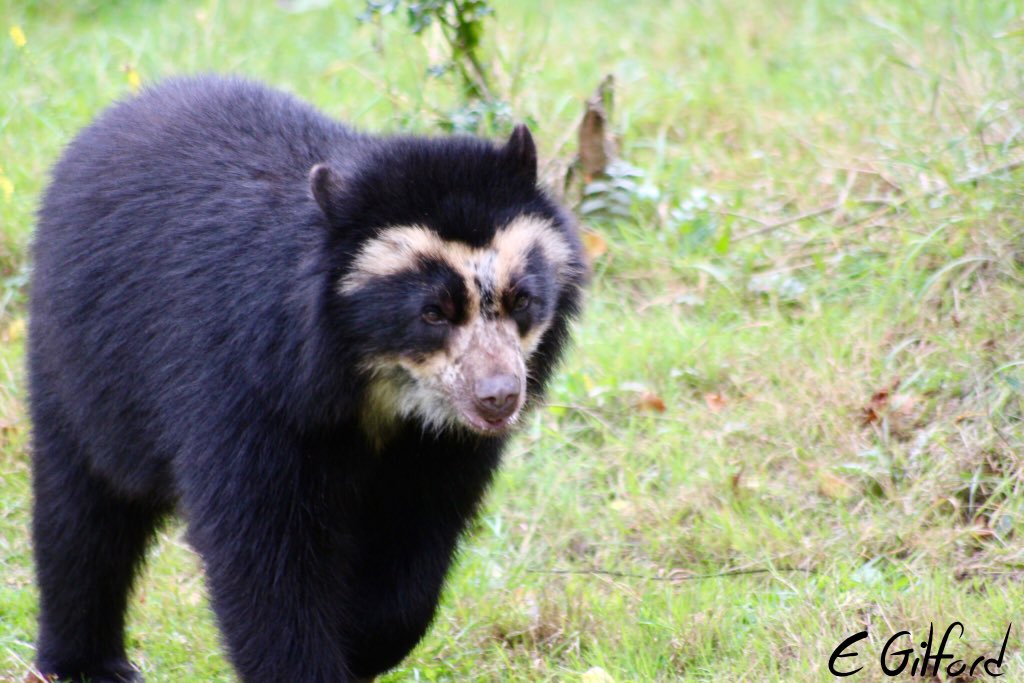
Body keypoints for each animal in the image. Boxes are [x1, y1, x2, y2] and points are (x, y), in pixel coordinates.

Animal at [28, 75, 586, 682]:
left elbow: (419, 532)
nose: (499, 398)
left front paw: (364, 639)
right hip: (79, 365)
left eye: (521, 300)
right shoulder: (248, 391)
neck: (372, 385)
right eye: (433, 313)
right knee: (83, 515)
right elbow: (263, 554)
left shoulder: (439, 446)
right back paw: (86, 664)